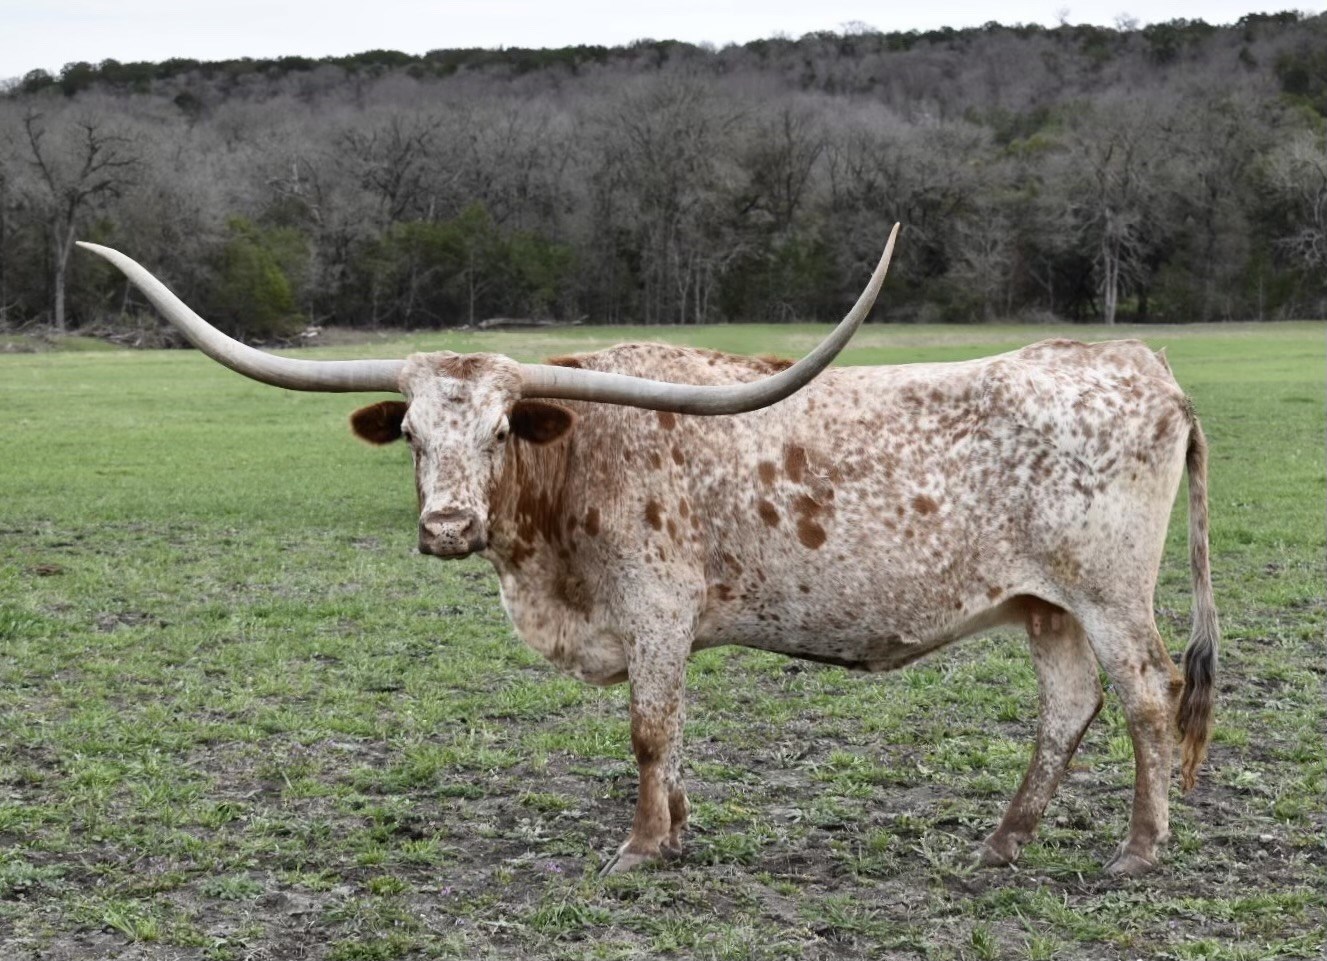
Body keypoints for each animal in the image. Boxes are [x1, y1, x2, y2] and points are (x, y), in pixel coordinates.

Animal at [78, 226, 1216, 879]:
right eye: (410, 434)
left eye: (501, 428)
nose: (447, 527)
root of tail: (1146, 366)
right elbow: (671, 737)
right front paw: (677, 829)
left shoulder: (656, 610)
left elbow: (646, 728)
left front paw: (636, 848)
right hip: (1044, 603)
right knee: (1068, 708)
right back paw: (1002, 841)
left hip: (1110, 594)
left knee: (1147, 697)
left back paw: (1138, 850)